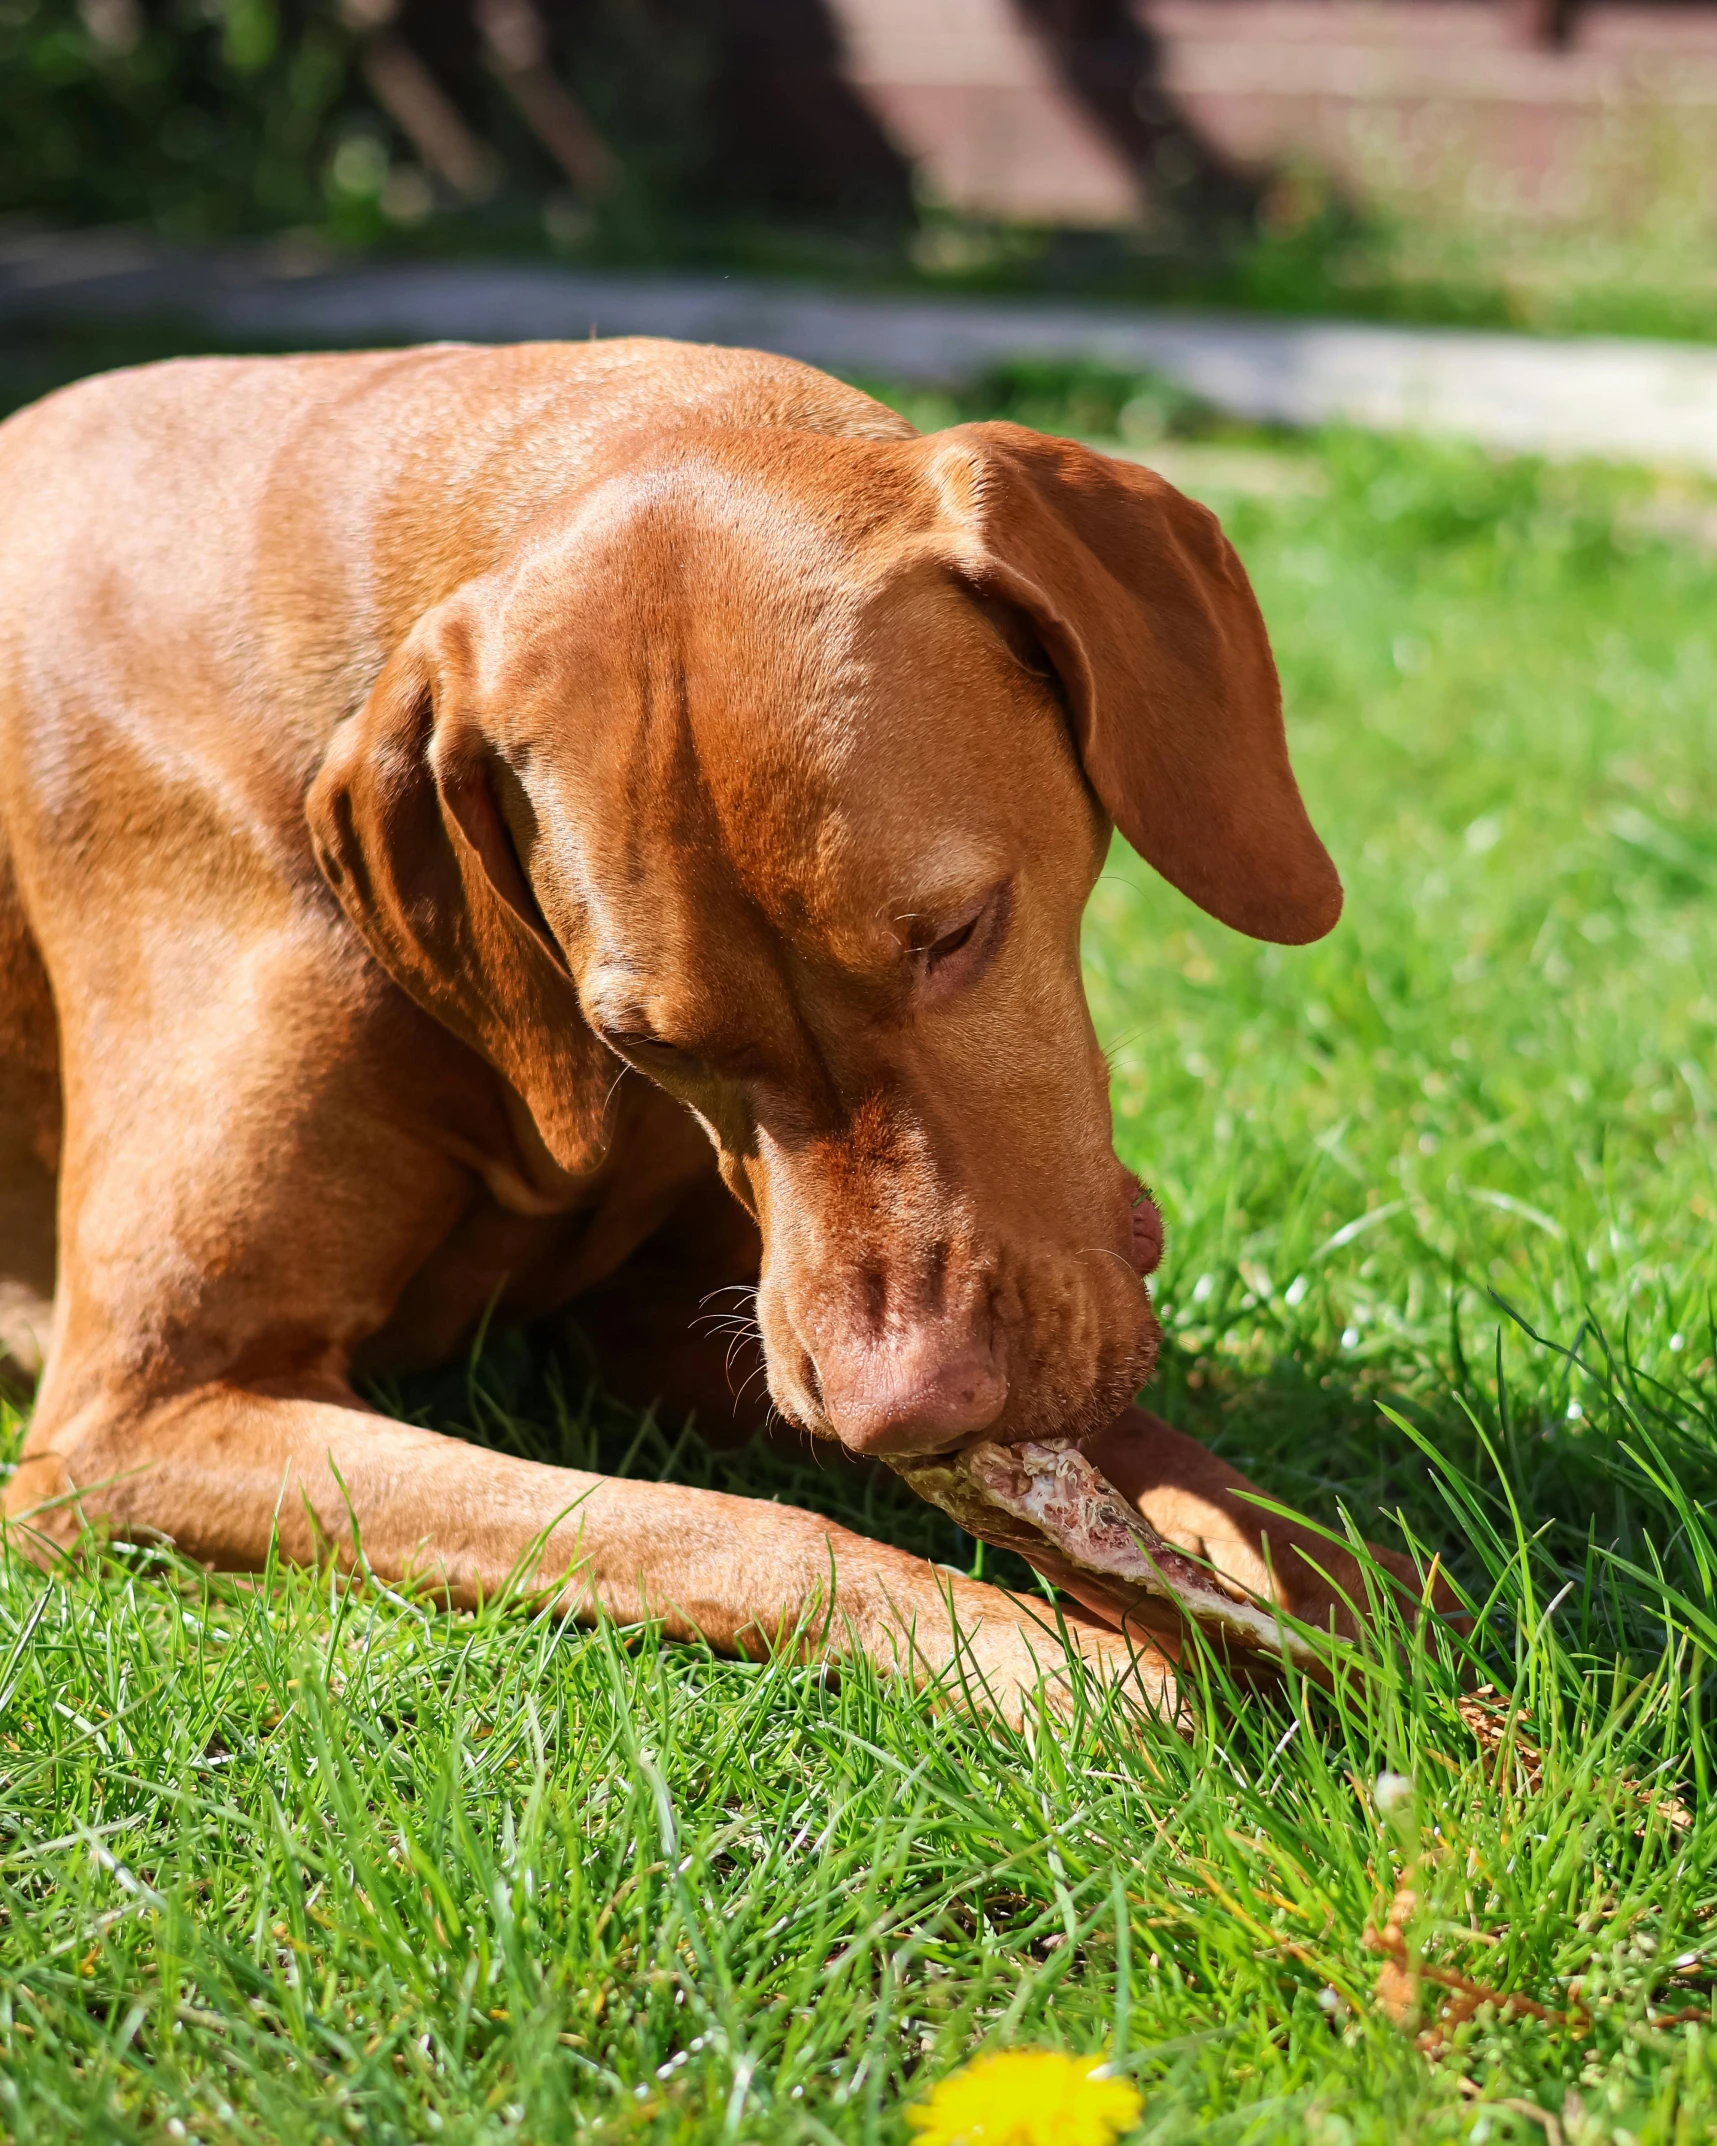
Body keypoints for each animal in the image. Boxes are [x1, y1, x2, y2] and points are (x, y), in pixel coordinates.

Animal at [0, 343, 1416, 1716]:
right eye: (644, 1042)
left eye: (955, 931)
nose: (908, 1414)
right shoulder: (139, 1419)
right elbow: (703, 1524)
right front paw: (1044, 1657)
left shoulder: (699, 1320)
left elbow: (1178, 1463)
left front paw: (1346, 1583)